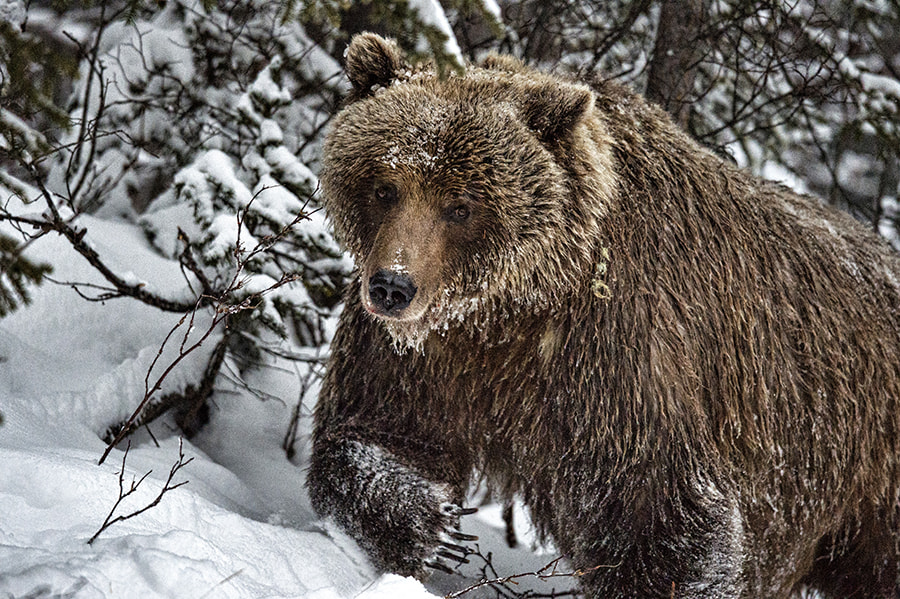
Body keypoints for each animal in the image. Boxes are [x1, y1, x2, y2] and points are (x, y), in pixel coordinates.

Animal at [308, 34, 900, 599]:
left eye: (461, 204)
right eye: (385, 187)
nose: (392, 286)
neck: (512, 311)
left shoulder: (617, 357)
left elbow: (658, 510)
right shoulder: (425, 355)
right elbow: (379, 430)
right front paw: (434, 526)